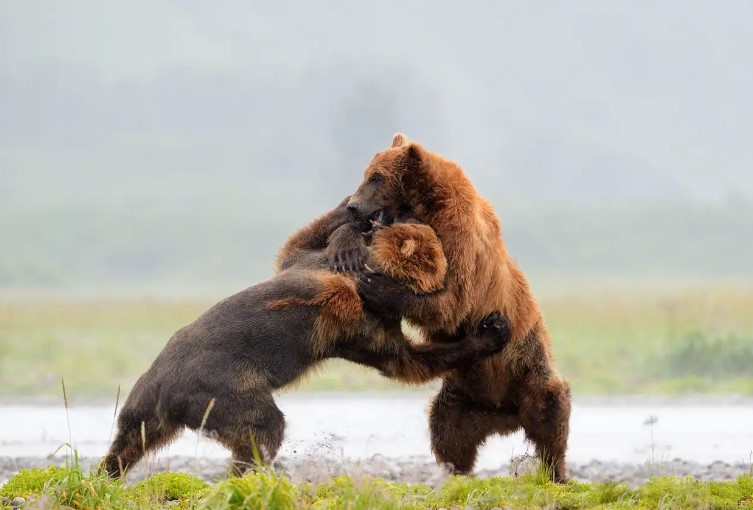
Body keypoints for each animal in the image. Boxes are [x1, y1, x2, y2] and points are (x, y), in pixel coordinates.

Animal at [101, 197, 512, 476]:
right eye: (443, 261)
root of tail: (163, 392)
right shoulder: (356, 321)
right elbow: (403, 361)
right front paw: (492, 330)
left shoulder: (306, 262)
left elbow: (296, 243)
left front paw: (358, 214)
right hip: (222, 391)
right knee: (263, 429)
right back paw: (247, 475)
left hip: (141, 402)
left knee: (128, 444)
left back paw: (107, 476)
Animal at [340, 132, 568, 482]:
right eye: (366, 172)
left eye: (375, 177)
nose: (352, 206)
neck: (424, 206)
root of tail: (503, 415)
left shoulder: (459, 239)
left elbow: (451, 302)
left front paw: (379, 286)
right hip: (461, 395)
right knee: (446, 429)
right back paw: (456, 472)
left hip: (529, 369)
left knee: (551, 411)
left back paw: (555, 471)